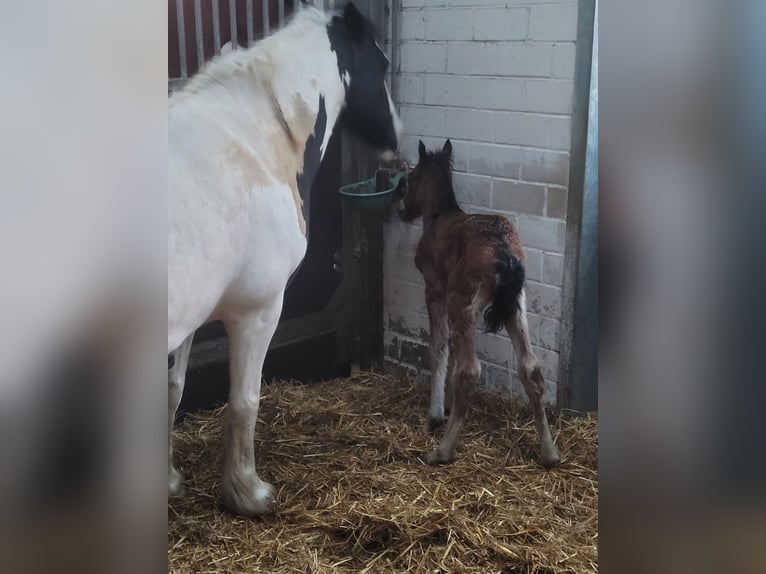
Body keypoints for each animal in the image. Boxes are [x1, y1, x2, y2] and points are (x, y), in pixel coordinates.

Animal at [167, 3, 402, 516]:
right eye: (382, 65)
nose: (397, 139)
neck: (257, 140)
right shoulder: (258, 310)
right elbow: (244, 401)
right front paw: (248, 493)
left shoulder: (191, 315)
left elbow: (173, 392)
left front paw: (169, 479)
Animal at [400, 141, 560, 472]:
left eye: (412, 178)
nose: (401, 211)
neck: (438, 216)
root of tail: (504, 255)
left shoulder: (434, 291)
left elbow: (438, 347)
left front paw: (435, 415)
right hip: (516, 307)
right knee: (531, 368)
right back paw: (550, 453)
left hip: (462, 303)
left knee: (470, 370)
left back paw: (441, 451)